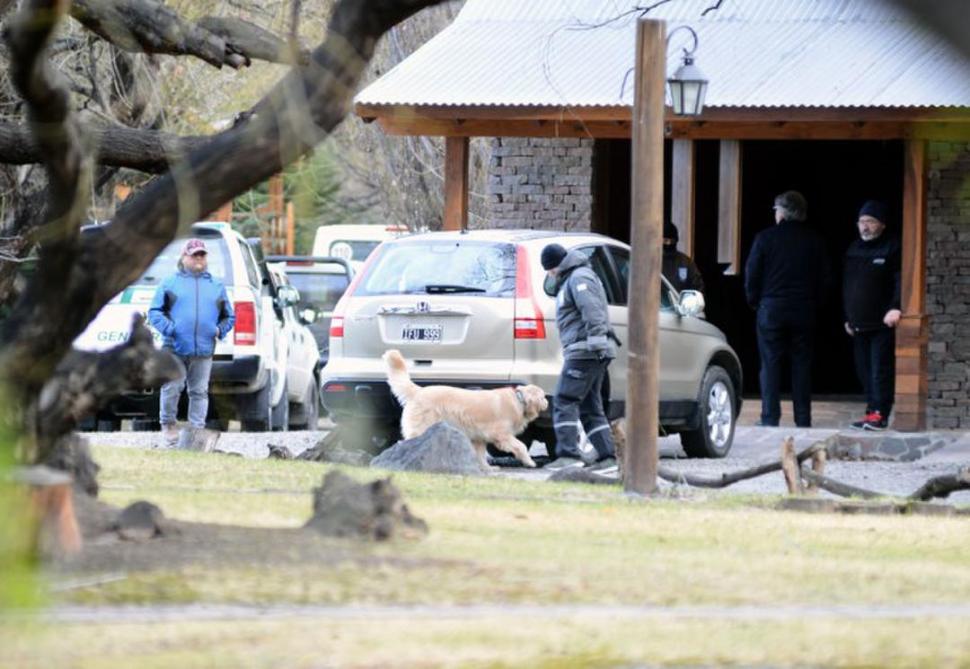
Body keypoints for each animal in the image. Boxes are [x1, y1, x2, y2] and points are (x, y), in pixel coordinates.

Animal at [384, 350, 548, 470]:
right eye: (543, 397)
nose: (548, 402)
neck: (519, 399)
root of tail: (418, 391)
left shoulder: (479, 437)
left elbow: (480, 454)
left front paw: (487, 468)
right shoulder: (501, 435)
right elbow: (520, 446)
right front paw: (530, 462)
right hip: (422, 427)